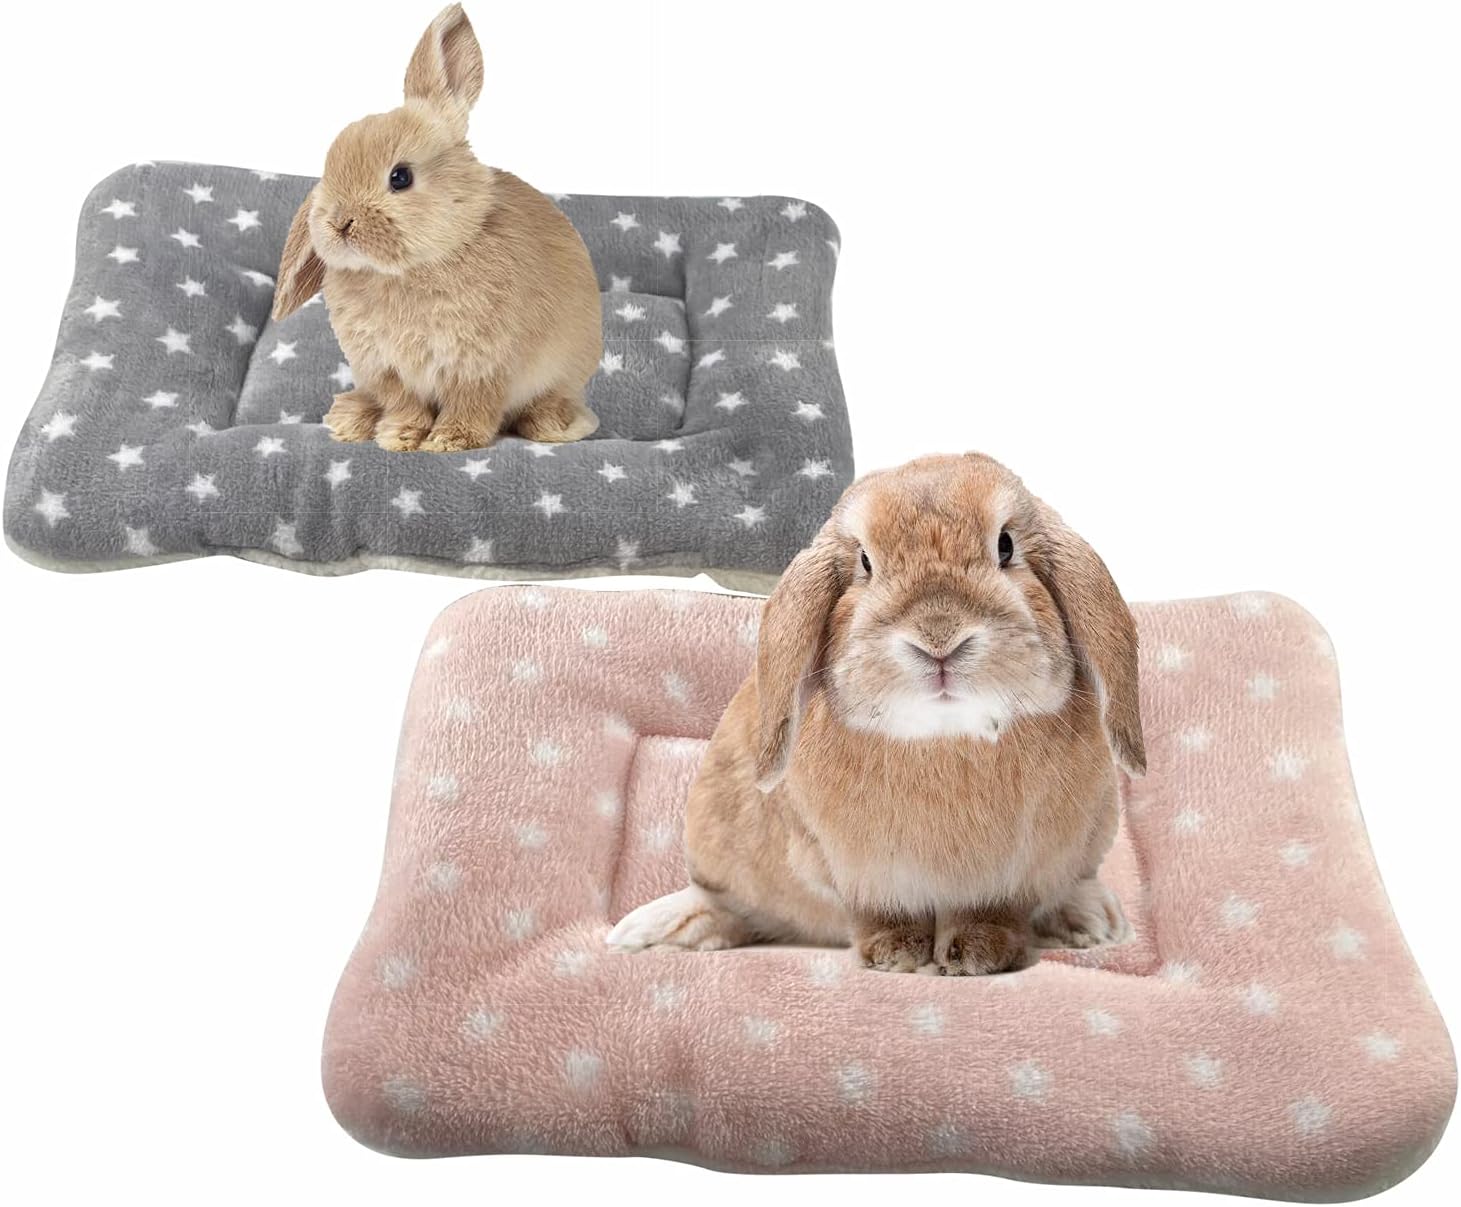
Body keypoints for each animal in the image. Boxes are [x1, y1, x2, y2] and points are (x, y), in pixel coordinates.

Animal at [271, 4, 602, 453]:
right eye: (329, 170)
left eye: (400, 177)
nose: (339, 223)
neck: (412, 268)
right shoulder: (388, 370)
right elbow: (405, 404)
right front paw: (399, 436)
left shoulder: (480, 366)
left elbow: (472, 405)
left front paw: (448, 441)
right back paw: (350, 420)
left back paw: (557, 426)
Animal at [606, 452, 1146, 975]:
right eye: (865, 561)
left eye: (1006, 546)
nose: (939, 637)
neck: (945, 739)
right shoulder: (855, 870)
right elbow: (881, 915)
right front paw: (894, 956)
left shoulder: (1013, 877)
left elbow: (991, 914)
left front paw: (977, 955)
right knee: (731, 905)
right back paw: (650, 931)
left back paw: (1091, 919)